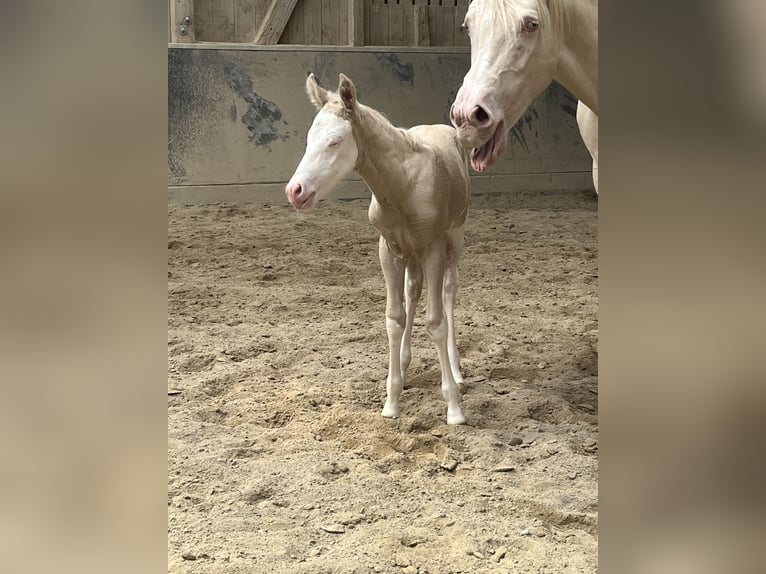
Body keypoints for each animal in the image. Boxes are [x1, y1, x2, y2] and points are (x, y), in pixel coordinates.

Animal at [285, 73, 471, 425]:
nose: (295, 191)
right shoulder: (388, 249)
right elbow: (394, 318)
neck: (403, 186)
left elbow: (436, 322)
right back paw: (406, 363)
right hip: (410, 253)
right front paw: (392, 401)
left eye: (335, 141)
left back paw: (456, 369)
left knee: (450, 289)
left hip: (455, 237)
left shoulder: (433, 248)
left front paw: (454, 407)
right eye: (309, 139)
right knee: (413, 291)